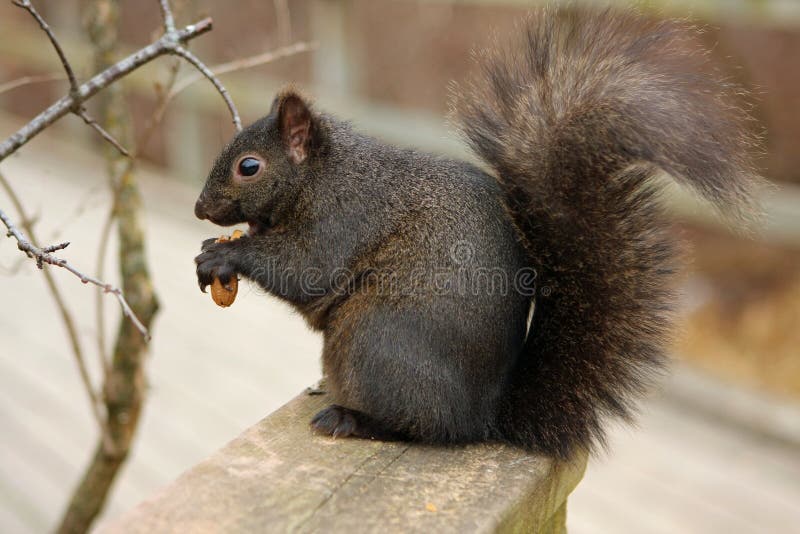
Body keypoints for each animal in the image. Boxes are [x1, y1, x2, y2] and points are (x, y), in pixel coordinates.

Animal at [194, 6, 761, 458]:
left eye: (249, 166)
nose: (200, 209)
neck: (322, 174)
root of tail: (483, 416)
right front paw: (213, 247)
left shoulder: (344, 217)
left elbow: (305, 270)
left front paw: (225, 256)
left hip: (374, 340)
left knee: (425, 428)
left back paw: (353, 418)